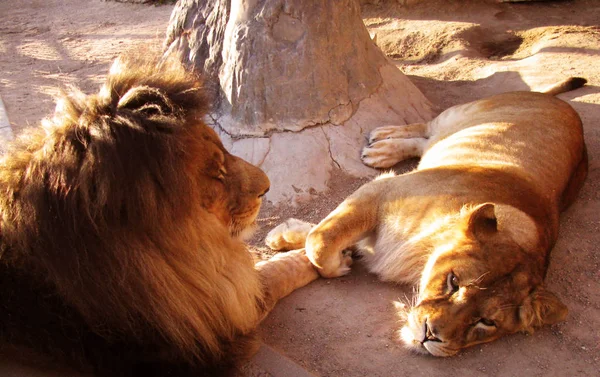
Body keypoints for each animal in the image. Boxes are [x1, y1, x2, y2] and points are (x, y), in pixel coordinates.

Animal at [268, 78, 584, 356]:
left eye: (487, 322)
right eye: (454, 282)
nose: (431, 335)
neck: (421, 257)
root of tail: (554, 100)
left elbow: (324, 238)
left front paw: (299, 238)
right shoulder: (383, 190)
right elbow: (321, 240)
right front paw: (304, 244)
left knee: (425, 142)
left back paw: (383, 150)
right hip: (459, 115)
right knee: (426, 127)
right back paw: (381, 141)